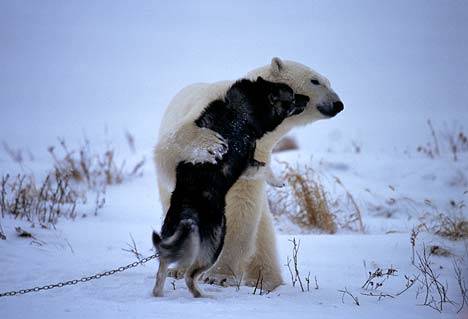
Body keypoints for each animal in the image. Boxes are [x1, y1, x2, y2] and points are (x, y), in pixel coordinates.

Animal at [154, 57, 344, 292]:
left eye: (329, 81)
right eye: (315, 80)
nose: (338, 104)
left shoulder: (258, 152)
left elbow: (241, 207)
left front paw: (220, 276)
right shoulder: (207, 113)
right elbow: (171, 147)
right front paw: (211, 143)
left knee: (263, 235)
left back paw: (265, 281)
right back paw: (179, 268)